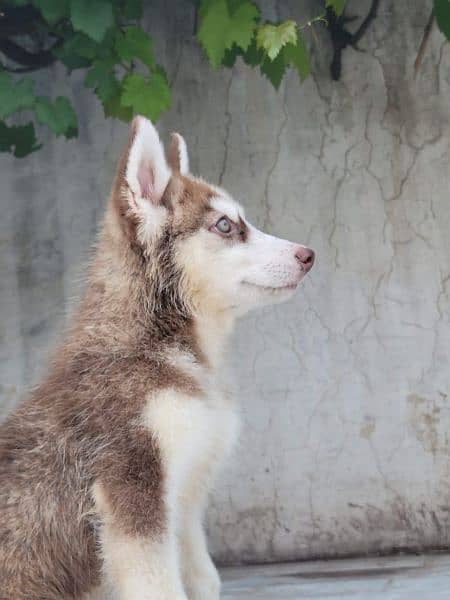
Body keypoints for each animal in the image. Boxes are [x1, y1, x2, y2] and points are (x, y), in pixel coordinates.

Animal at [0, 117, 314, 600]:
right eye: (226, 226)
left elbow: (203, 578)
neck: (159, 346)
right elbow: (161, 586)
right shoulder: (134, 497)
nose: (308, 255)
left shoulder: (183, 503)